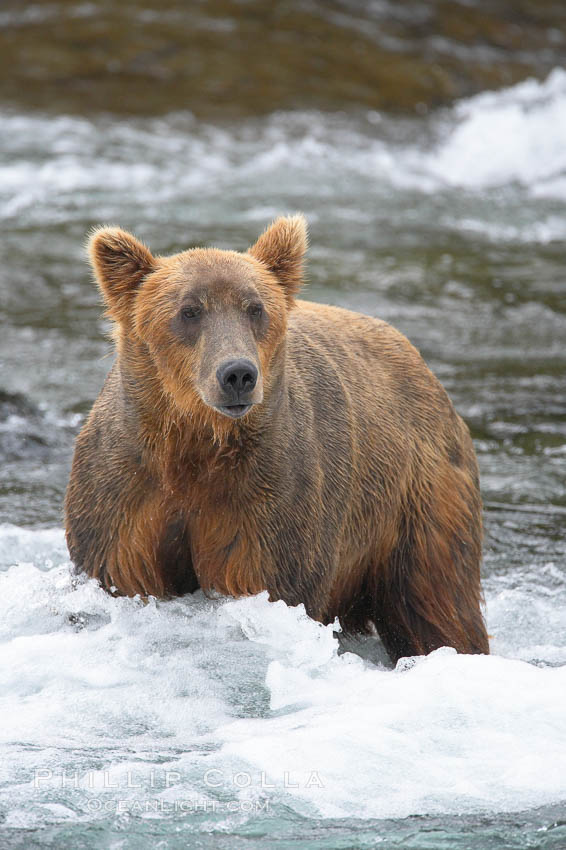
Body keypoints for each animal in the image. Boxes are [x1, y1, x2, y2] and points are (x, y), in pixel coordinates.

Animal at [66, 214, 490, 664]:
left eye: (255, 307)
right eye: (189, 310)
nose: (237, 374)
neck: (196, 444)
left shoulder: (270, 498)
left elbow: (271, 579)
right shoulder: (127, 490)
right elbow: (118, 569)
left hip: (417, 497)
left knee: (434, 600)